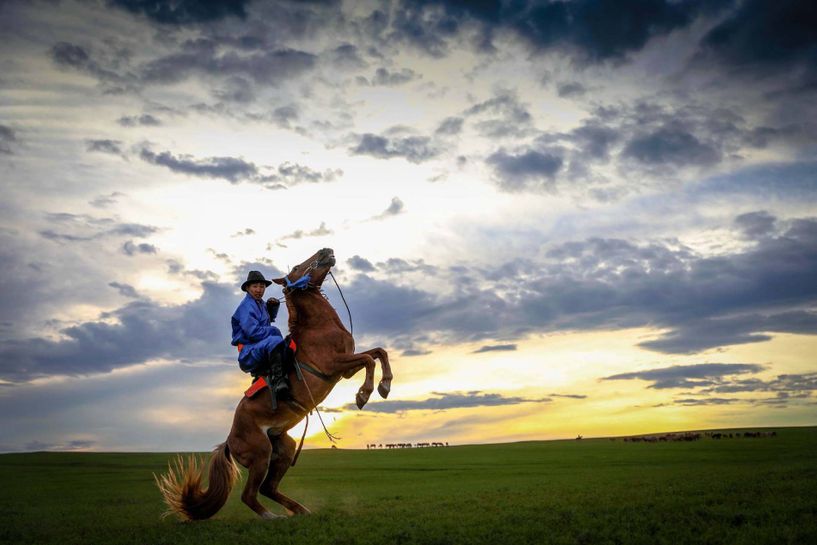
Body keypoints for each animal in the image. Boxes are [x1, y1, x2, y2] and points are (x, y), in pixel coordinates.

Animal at [157, 246, 396, 520]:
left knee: (268, 488)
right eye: (297, 268)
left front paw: (385, 385)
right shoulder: (335, 365)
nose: (325, 250)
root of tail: (230, 440)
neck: (318, 328)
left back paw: (300, 510)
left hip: (284, 448)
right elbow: (368, 359)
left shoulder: (346, 369)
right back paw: (272, 516)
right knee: (250, 494)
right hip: (261, 455)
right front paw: (364, 394)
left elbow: (378, 353)